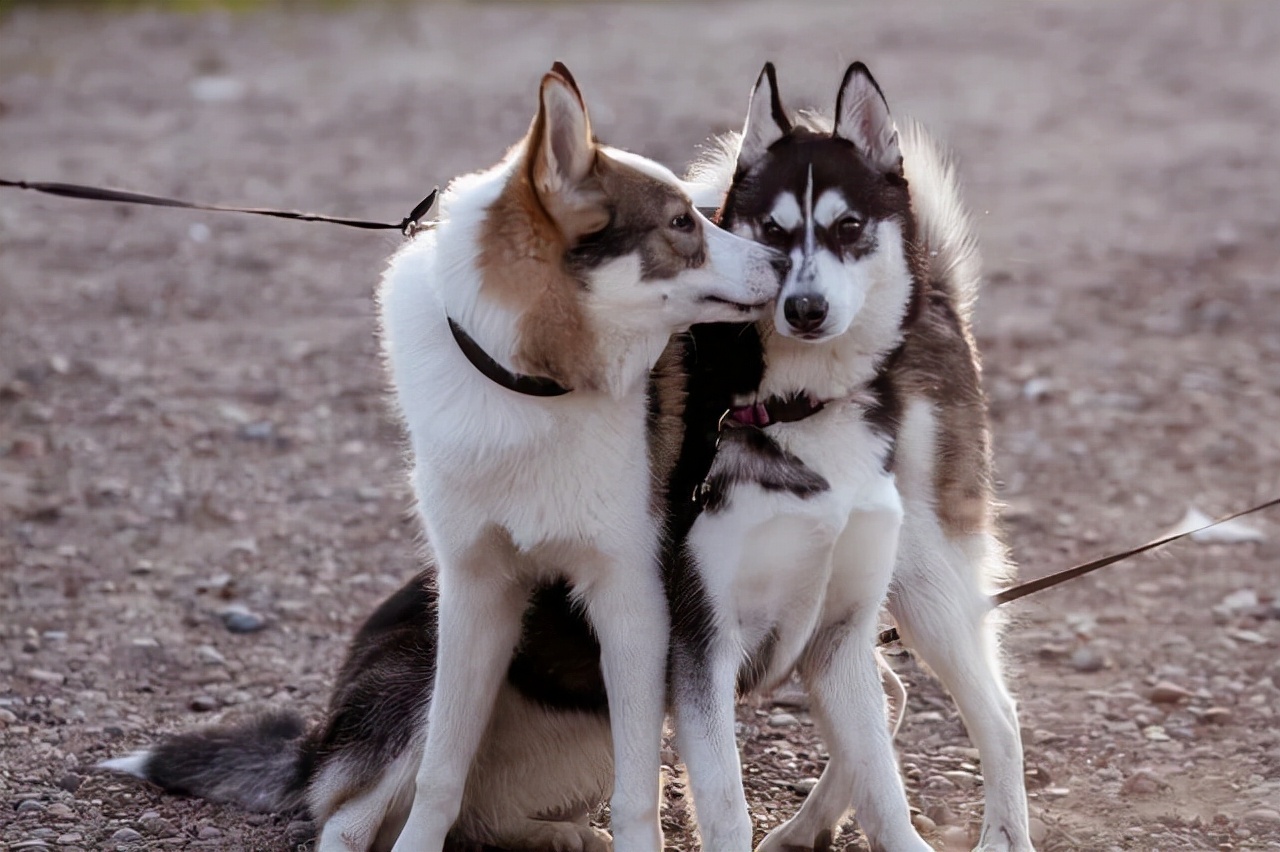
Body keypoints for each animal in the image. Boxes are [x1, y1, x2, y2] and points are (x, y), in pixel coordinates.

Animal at [102, 61, 778, 849]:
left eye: (698, 213)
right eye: (681, 224)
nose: (784, 258)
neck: (530, 390)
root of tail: (318, 746)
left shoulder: (629, 603)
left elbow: (636, 796)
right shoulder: (474, 596)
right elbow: (439, 777)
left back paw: (561, 834)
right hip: (420, 671)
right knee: (349, 819)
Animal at [655, 63, 1034, 844]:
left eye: (848, 227)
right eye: (773, 231)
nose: (804, 308)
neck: (795, 405)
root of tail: (935, 294)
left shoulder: (773, 636)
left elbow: (882, 791)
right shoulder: (702, 646)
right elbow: (729, 804)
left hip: (928, 581)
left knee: (995, 714)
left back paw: (1005, 835)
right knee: (893, 696)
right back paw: (805, 827)